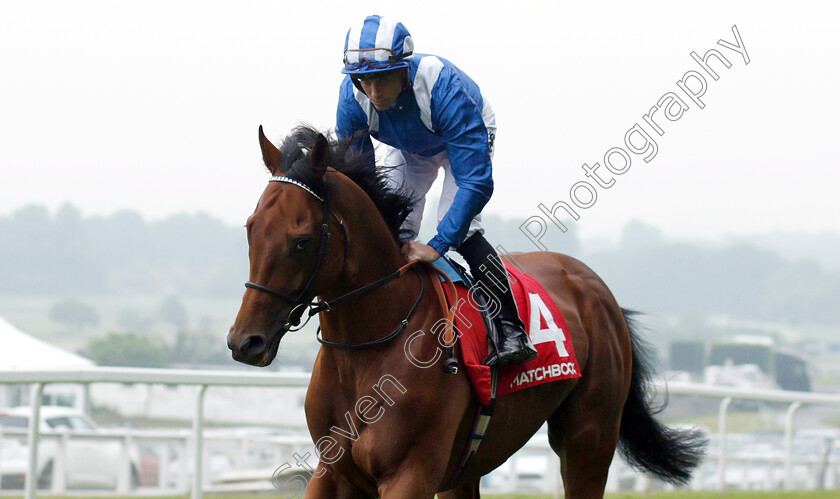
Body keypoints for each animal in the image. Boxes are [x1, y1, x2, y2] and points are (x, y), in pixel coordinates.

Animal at [228, 124, 704, 496]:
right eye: (251, 229)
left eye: (301, 241)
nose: (243, 341)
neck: (369, 346)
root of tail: (596, 287)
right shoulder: (332, 472)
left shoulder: (410, 474)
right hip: (470, 467)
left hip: (589, 438)